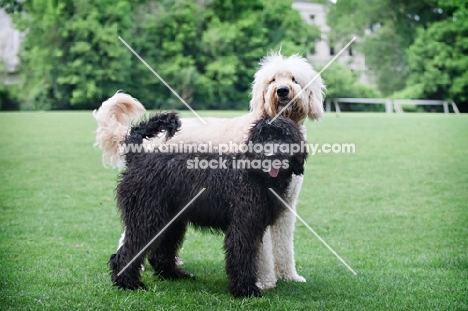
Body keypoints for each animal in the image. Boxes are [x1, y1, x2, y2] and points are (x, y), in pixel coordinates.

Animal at [109, 111, 308, 298]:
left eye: (283, 136)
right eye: (262, 136)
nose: (270, 155)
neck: (256, 175)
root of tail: (139, 157)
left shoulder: (255, 227)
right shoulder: (242, 226)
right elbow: (241, 256)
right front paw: (245, 289)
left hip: (171, 222)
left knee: (161, 252)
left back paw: (172, 274)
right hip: (146, 218)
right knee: (128, 252)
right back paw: (129, 283)